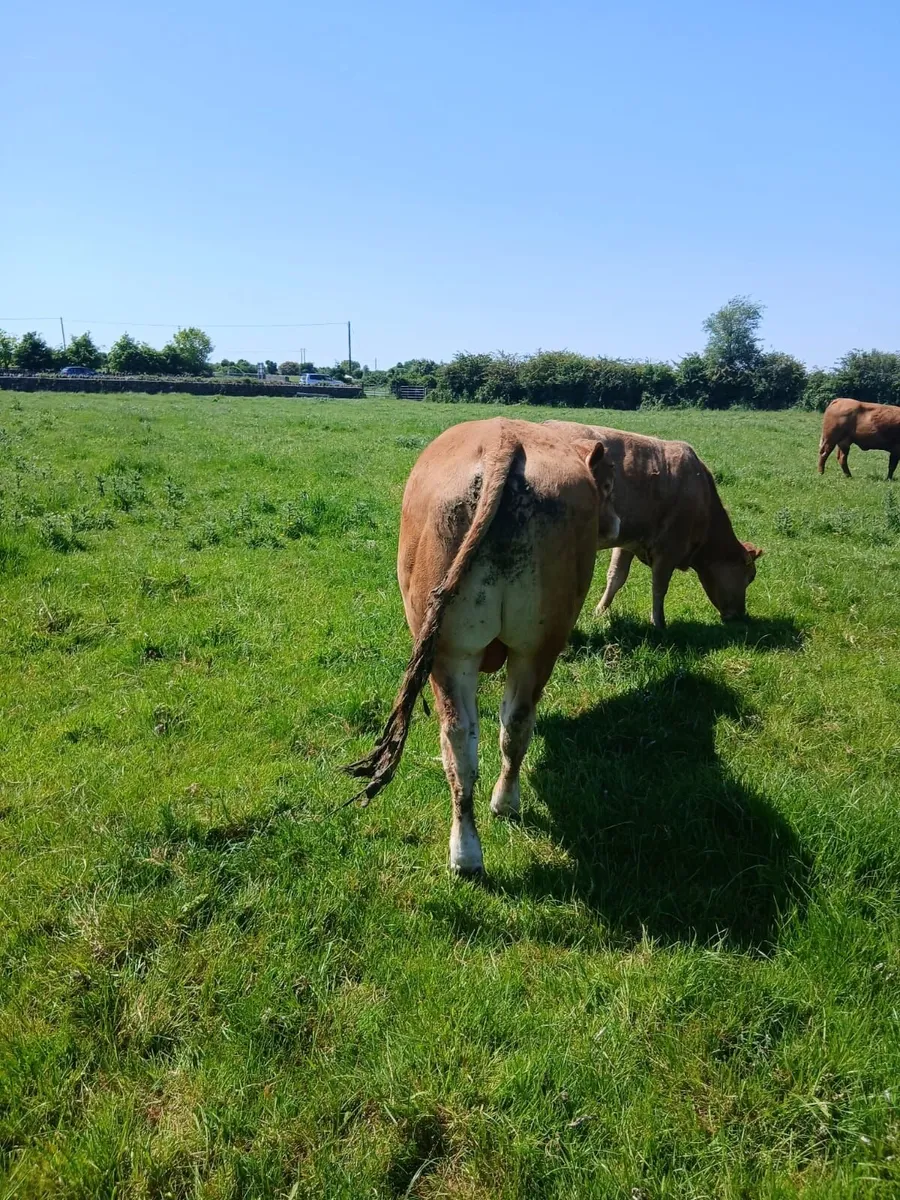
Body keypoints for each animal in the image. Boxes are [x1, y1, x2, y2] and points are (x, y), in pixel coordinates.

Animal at [344, 417, 620, 876]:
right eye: (608, 484)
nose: (616, 524)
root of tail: (502, 444)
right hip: (523, 646)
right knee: (506, 726)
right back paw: (486, 827)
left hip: (456, 649)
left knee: (464, 737)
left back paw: (478, 835)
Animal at [544, 421, 762, 629]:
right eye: (750, 576)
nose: (741, 614)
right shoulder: (668, 549)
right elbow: (659, 586)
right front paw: (658, 622)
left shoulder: (627, 541)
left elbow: (616, 577)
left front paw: (599, 611)